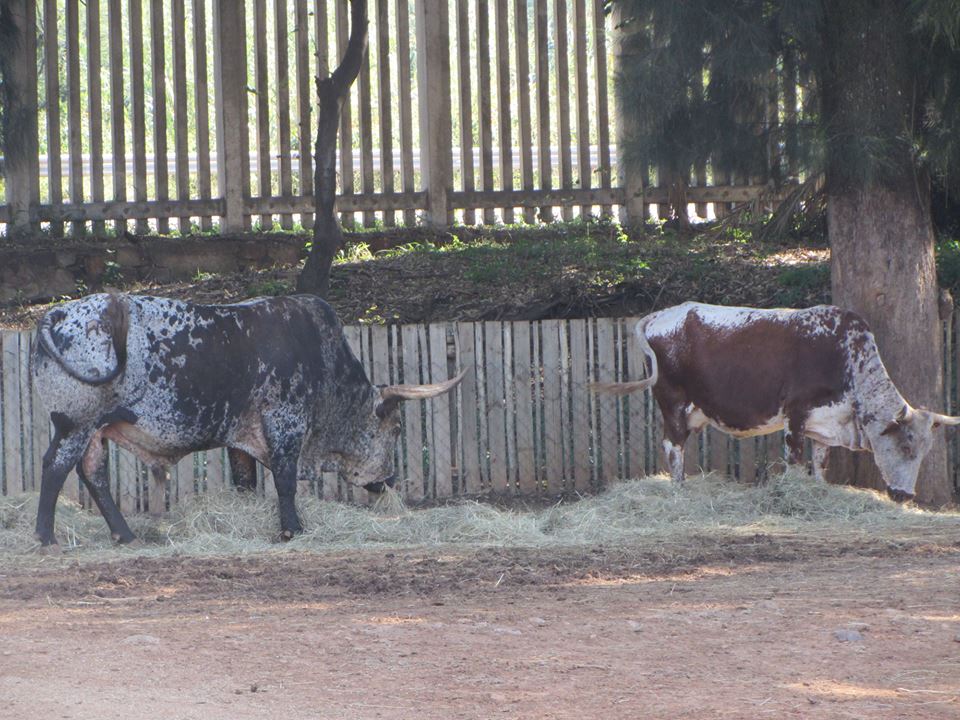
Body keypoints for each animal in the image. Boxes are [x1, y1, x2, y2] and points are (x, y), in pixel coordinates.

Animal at [30, 293, 465, 548]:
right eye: (395, 429)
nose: (388, 480)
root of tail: (57, 314)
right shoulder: (286, 424)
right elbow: (285, 481)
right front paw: (292, 529)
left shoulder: (240, 438)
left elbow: (245, 481)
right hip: (75, 423)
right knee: (55, 467)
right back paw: (46, 537)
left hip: (95, 429)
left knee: (93, 473)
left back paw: (125, 535)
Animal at [592, 302, 960, 501]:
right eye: (905, 446)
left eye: (925, 451)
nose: (906, 496)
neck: (846, 357)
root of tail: (660, 315)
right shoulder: (795, 417)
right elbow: (795, 462)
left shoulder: (825, 425)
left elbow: (820, 465)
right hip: (673, 404)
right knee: (673, 447)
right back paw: (679, 490)